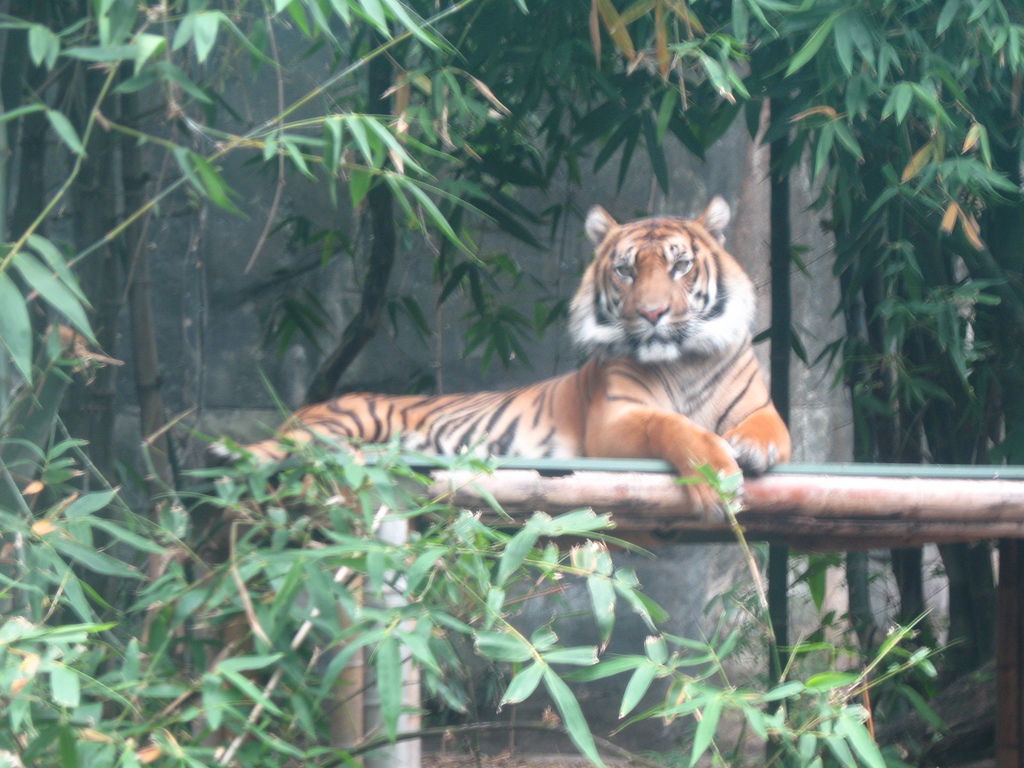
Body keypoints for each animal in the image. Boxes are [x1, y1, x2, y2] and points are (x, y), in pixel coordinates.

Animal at [228, 198, 790, 512]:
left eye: (680, 267)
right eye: (626, 271)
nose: (652, 313)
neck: (682, 359)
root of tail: (305, 409)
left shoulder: (760, 407)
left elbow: (772, 431)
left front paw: (752, 449)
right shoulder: (614, 421)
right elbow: (671, 426)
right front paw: (716, 473)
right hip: (345, 422)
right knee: (283, 451)